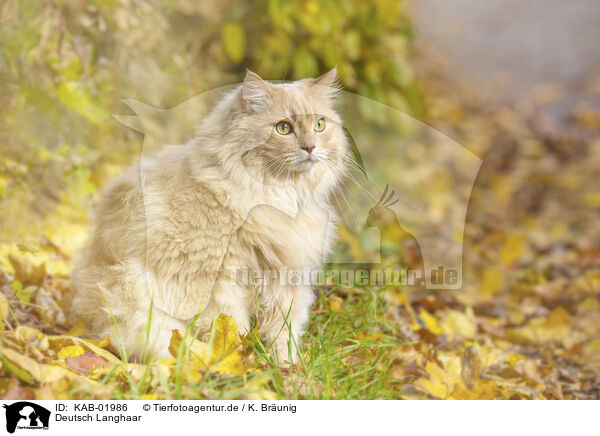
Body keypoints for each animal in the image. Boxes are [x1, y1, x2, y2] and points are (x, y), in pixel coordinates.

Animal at [72, 68, 350, 362]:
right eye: (283, 128)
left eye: (319, 125)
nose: (310, 147)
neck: (277, 197)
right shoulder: (217, 282)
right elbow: (231, 331)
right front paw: (238, 366)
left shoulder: (285, 278)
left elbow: (283, 332)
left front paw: (285, 366)